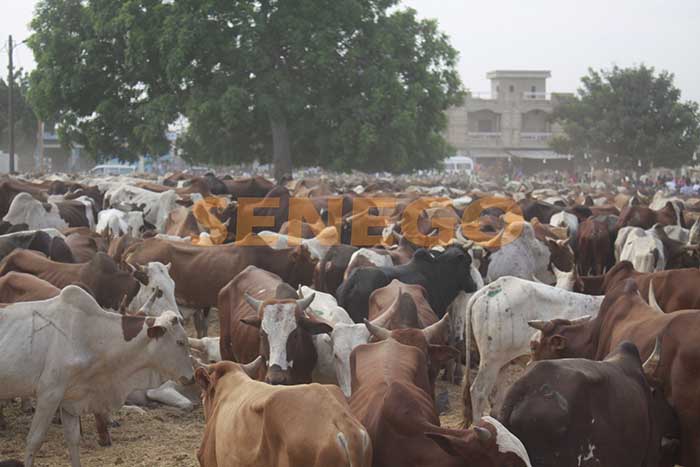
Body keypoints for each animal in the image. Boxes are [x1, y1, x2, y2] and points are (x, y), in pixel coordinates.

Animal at [0, 286, 193, 467]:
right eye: (180, 342)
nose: (191, 377)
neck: (93, 334)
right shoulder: (49, 395)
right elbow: (34, 441)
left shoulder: (70, 399)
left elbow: (73, 440)